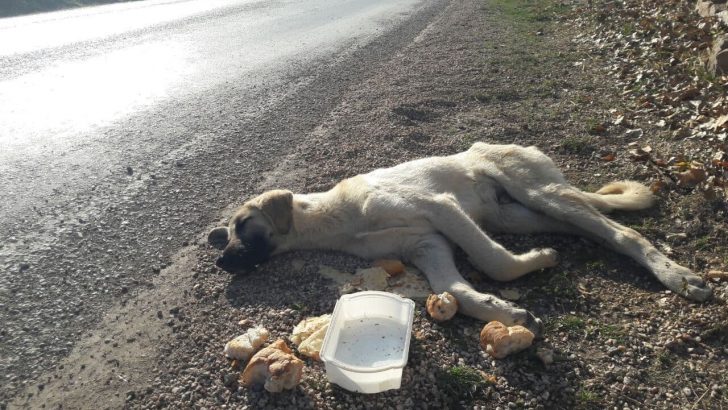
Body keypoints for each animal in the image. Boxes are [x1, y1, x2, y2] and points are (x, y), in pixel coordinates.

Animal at [206, 143, 712, 334]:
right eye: (225, 235)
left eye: (243, 226)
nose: (221, 262)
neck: (340, 218)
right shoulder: (427, 245)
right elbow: (455, 288)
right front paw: (504, 309)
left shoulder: (441, 208)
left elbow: (492, 262)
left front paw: (527, 271)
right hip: (520, 216)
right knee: (590, 229)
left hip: (540, 192)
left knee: (621, 232)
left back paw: (679, 277)